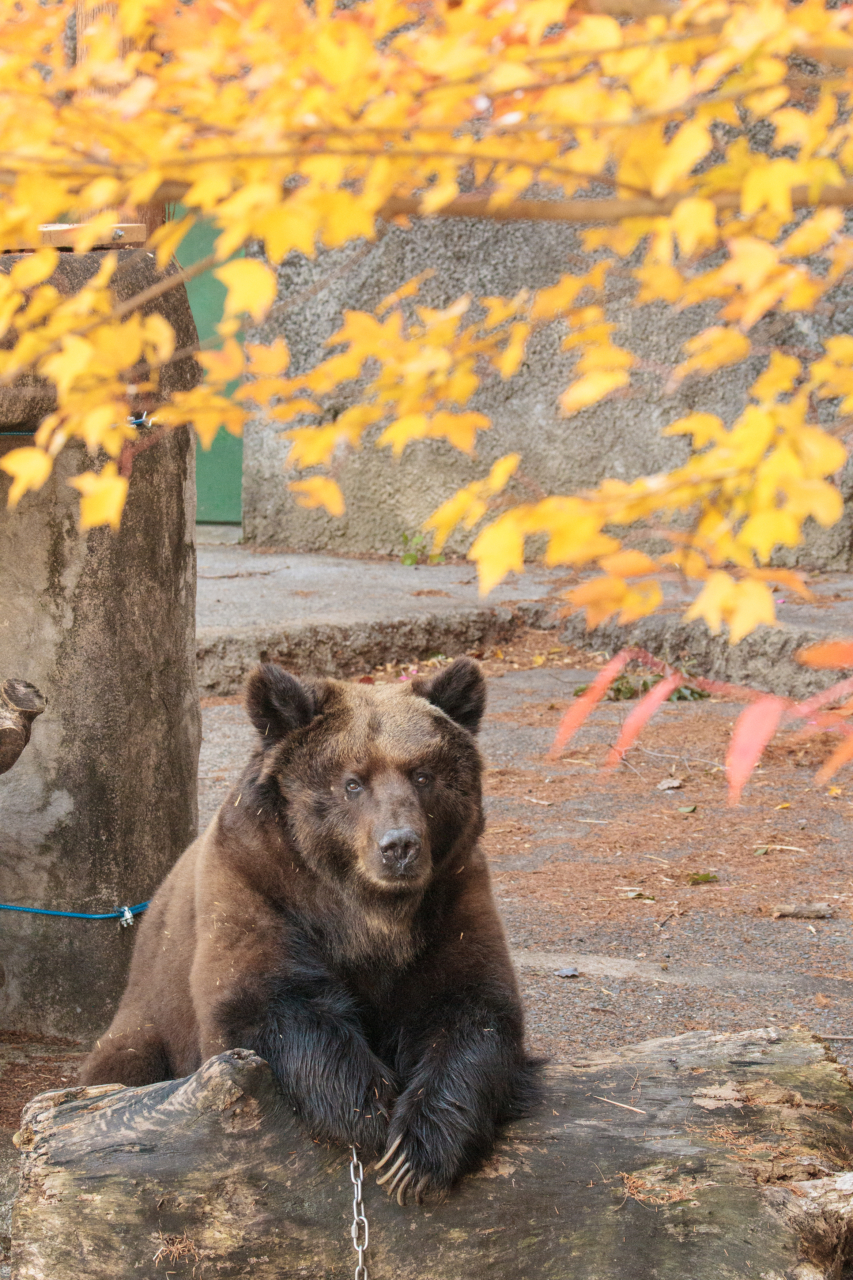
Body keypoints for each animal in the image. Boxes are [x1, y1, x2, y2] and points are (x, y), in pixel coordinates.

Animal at [83, 655, 535, 1203]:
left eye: (423, 774)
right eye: (353, 782)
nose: (399, 846)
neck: (363, 910)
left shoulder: (450, 900)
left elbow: (472, 1009)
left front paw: (415, 1155)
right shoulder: (258, 884)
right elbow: (270, 1000)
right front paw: (368, 1111)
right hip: (149, 1019)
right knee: (124, 1069)